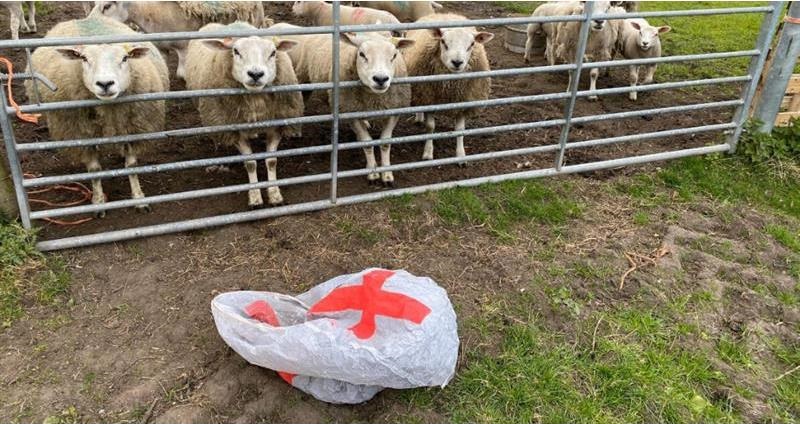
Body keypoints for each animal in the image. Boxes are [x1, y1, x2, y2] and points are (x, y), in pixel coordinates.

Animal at [24, 14, 170, 215]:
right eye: (84, 58)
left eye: (125, 58)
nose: (105, 83)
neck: (108, 112)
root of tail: (85, 18)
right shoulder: (81, 136)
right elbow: (94, 169)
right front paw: (99, 201)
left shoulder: (133, 129)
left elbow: (131, 166)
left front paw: (139, 199)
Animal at [274, 22, 412, 186]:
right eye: (362, 54)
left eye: (394, 56)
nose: (380, 79)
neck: (374, 98)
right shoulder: (349, 111)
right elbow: (366, 142)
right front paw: (372, 173)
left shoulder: (394, 110)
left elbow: (385, 143)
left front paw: (387, 175)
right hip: (302, 78)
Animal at [406, 12, 494, 162]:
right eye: (443, 42)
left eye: (472, 44)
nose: (457, 62)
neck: (450, 89)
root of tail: (443, 14)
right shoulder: (429, 98)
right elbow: (430, 127)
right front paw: (428, 153)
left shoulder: (463, 102)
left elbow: (460, 130)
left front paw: (461, 155)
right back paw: (419, 117)